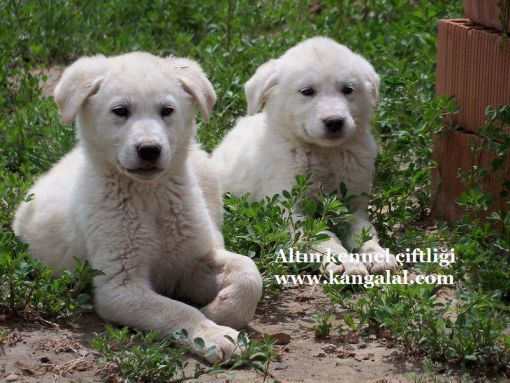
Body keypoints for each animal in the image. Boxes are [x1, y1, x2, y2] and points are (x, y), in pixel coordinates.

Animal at [13, 51, 260, 364]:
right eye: (120, 111)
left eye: (167, 110)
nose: (149, 149)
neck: (149, 197)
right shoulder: (119, 286)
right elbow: (179, 309)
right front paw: (215, 335)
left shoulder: (190, 261)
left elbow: (249, 271)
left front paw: (221, 310)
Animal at [211, 36, 398, 276]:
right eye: (307, 91)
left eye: (348, 90)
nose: (335, 122)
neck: (324, 153)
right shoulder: (289, 211)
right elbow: (323, 237)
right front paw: (343, 262)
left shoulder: (354, 206)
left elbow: (365, 233)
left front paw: (377, 254)